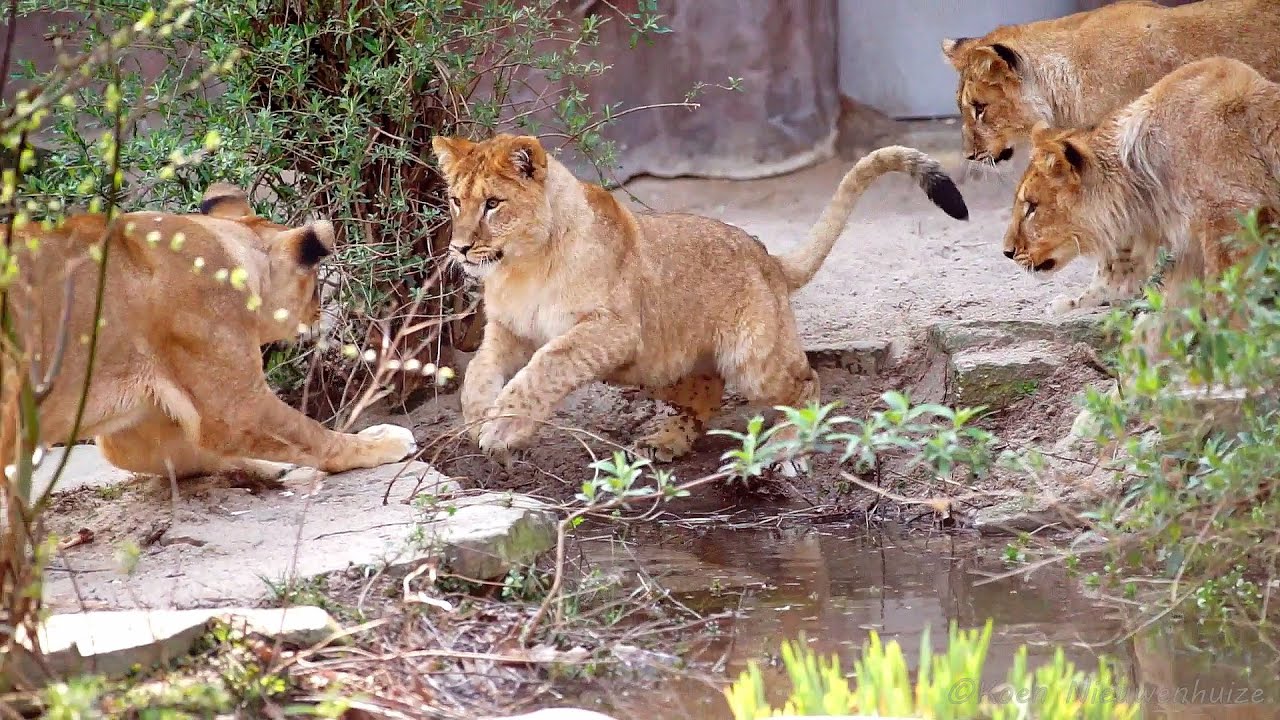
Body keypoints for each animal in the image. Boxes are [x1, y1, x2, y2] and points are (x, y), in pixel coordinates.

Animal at [0, 183, 418, 484]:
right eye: (315, 286)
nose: (318, 312)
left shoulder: (136, 431)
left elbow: (197, 454)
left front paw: (270, 469)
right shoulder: (237, 409)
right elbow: (313, 434)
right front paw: (381, 442)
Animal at [430, 133, 968, 472]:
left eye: (493, 204)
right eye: (456, 200)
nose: (459, 248)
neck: (523, 265)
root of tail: (768, 258)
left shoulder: (612, 328)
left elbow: (547, 364)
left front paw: (503, 427)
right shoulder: (509, 329)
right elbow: (479, 371)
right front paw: (478, 417)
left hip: (751, 359)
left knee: (805, 382)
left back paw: (788, 447)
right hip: (653, 366)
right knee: (706, 390)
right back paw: (666, 441)